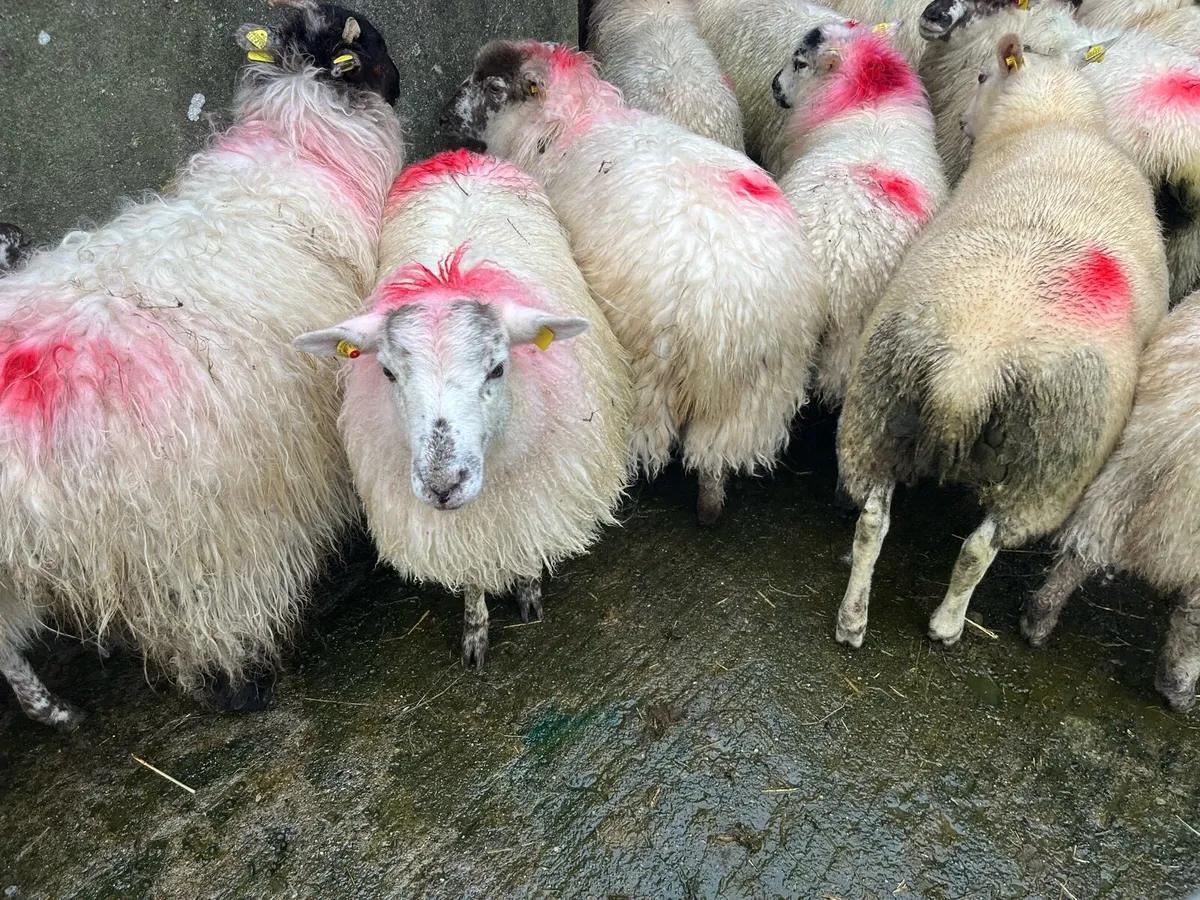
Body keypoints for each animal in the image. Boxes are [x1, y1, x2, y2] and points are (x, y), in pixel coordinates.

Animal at [0, 0, 404, 728]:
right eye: (376, 49)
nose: (404, 84)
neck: (299, 147)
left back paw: (54, 711)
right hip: (193, 528)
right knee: (210, 617)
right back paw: (240, 684)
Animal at [294, 150, 632, 670]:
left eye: (497, 368)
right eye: (387, 373)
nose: (442, 486)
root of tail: (459, 155)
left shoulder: (536, 495)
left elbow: (527, 547)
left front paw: (528, 590)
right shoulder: (461, 528)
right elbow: (472, 582)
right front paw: (475, 634)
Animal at [440, 41, 828, 524]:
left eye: (493, 86)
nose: (444, 116)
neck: (569, 121)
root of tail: (727, 313)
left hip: (651, 372)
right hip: (756, 395)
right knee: (716, 455)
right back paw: (710, 507)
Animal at [835, 34, 1169, 650]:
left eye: (982, 77)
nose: (963, 122)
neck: (1053, 121)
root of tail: (970, 368)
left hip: (875, 408)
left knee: (872, 522)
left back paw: (853, 619)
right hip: (1049, 464)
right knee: (978, 549)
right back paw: (946, 625)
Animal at [1022, 289, 1200, 712]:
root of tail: (1179, 436)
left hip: (1125, 468)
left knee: (1085, 547)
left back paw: (1039, 618)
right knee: (1192, 621)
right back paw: (1179, 690)